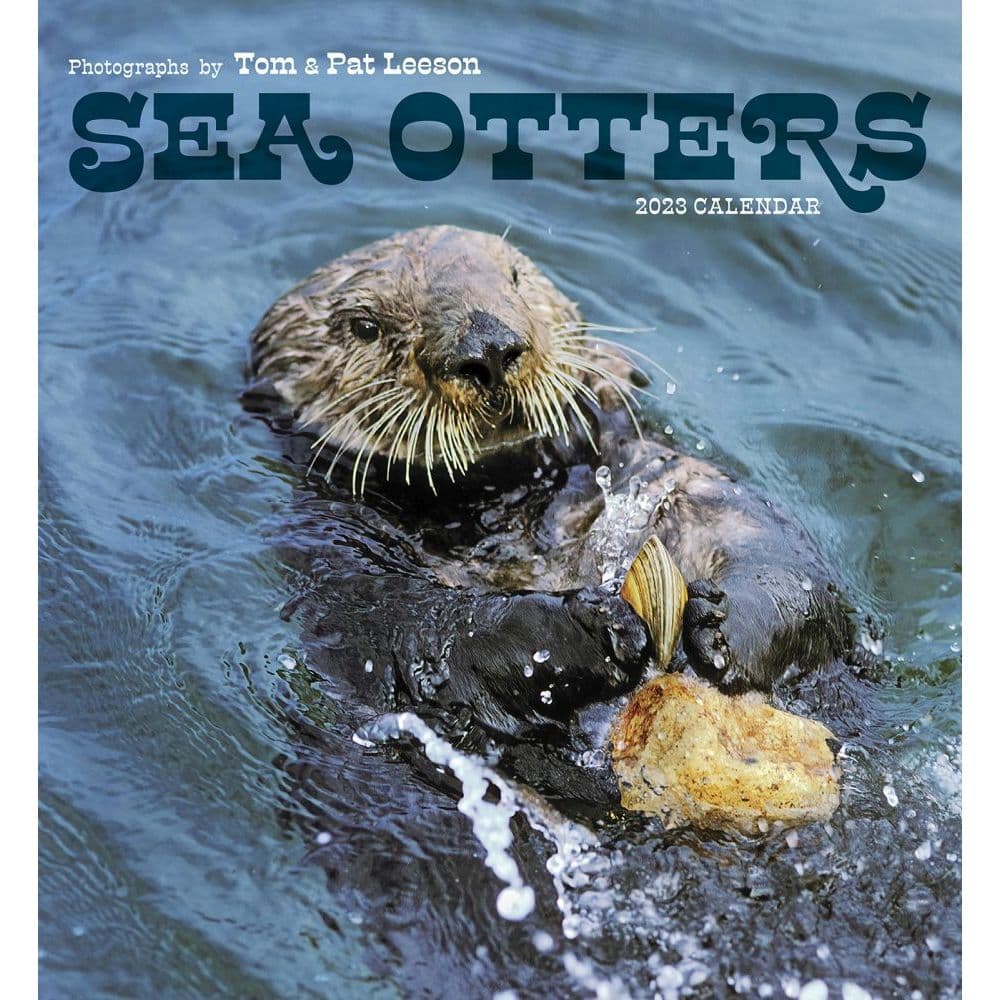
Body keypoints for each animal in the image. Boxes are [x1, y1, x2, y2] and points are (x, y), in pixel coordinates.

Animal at [244, 225, 862, 800]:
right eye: (365, 327)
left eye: (514, 277)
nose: (488, 345)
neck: (511, 504)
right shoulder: (340, 560)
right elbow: (409, 631)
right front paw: (581, 631)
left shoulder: (669, 479)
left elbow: (776, 552)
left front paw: (723, 622)